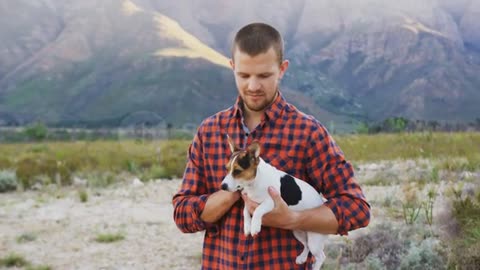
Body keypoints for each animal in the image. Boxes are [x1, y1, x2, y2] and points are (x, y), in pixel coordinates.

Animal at [220, 137, 326, 270]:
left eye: (237, 171)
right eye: (226, 169)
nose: (222, 186)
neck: (254, 182)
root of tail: (321, 202)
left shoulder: (271, 202)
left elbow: (258, 210)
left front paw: (254, 226)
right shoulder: (248, 200)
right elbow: (245, 212)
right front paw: (247, 226)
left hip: (314, 240)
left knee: (321, 256)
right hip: (298, 232)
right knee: (306, 246)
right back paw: (301, 258)